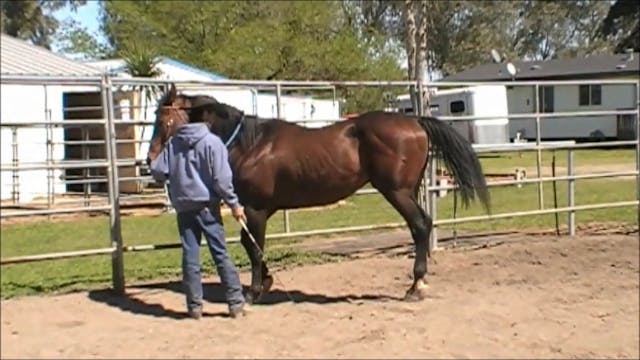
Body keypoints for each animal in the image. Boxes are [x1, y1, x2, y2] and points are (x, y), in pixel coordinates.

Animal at [149, 85, 490, 304]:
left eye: (163, 120)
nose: (149, 161)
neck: (250, 144)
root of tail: (414, 121)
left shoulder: (256, 208)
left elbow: (254, 247)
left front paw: (254, 291)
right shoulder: (261, 209)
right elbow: (251, 244)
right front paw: (267, 281)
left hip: (397, 192)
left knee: (420, 226)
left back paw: (416, 285)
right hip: (408, 190)